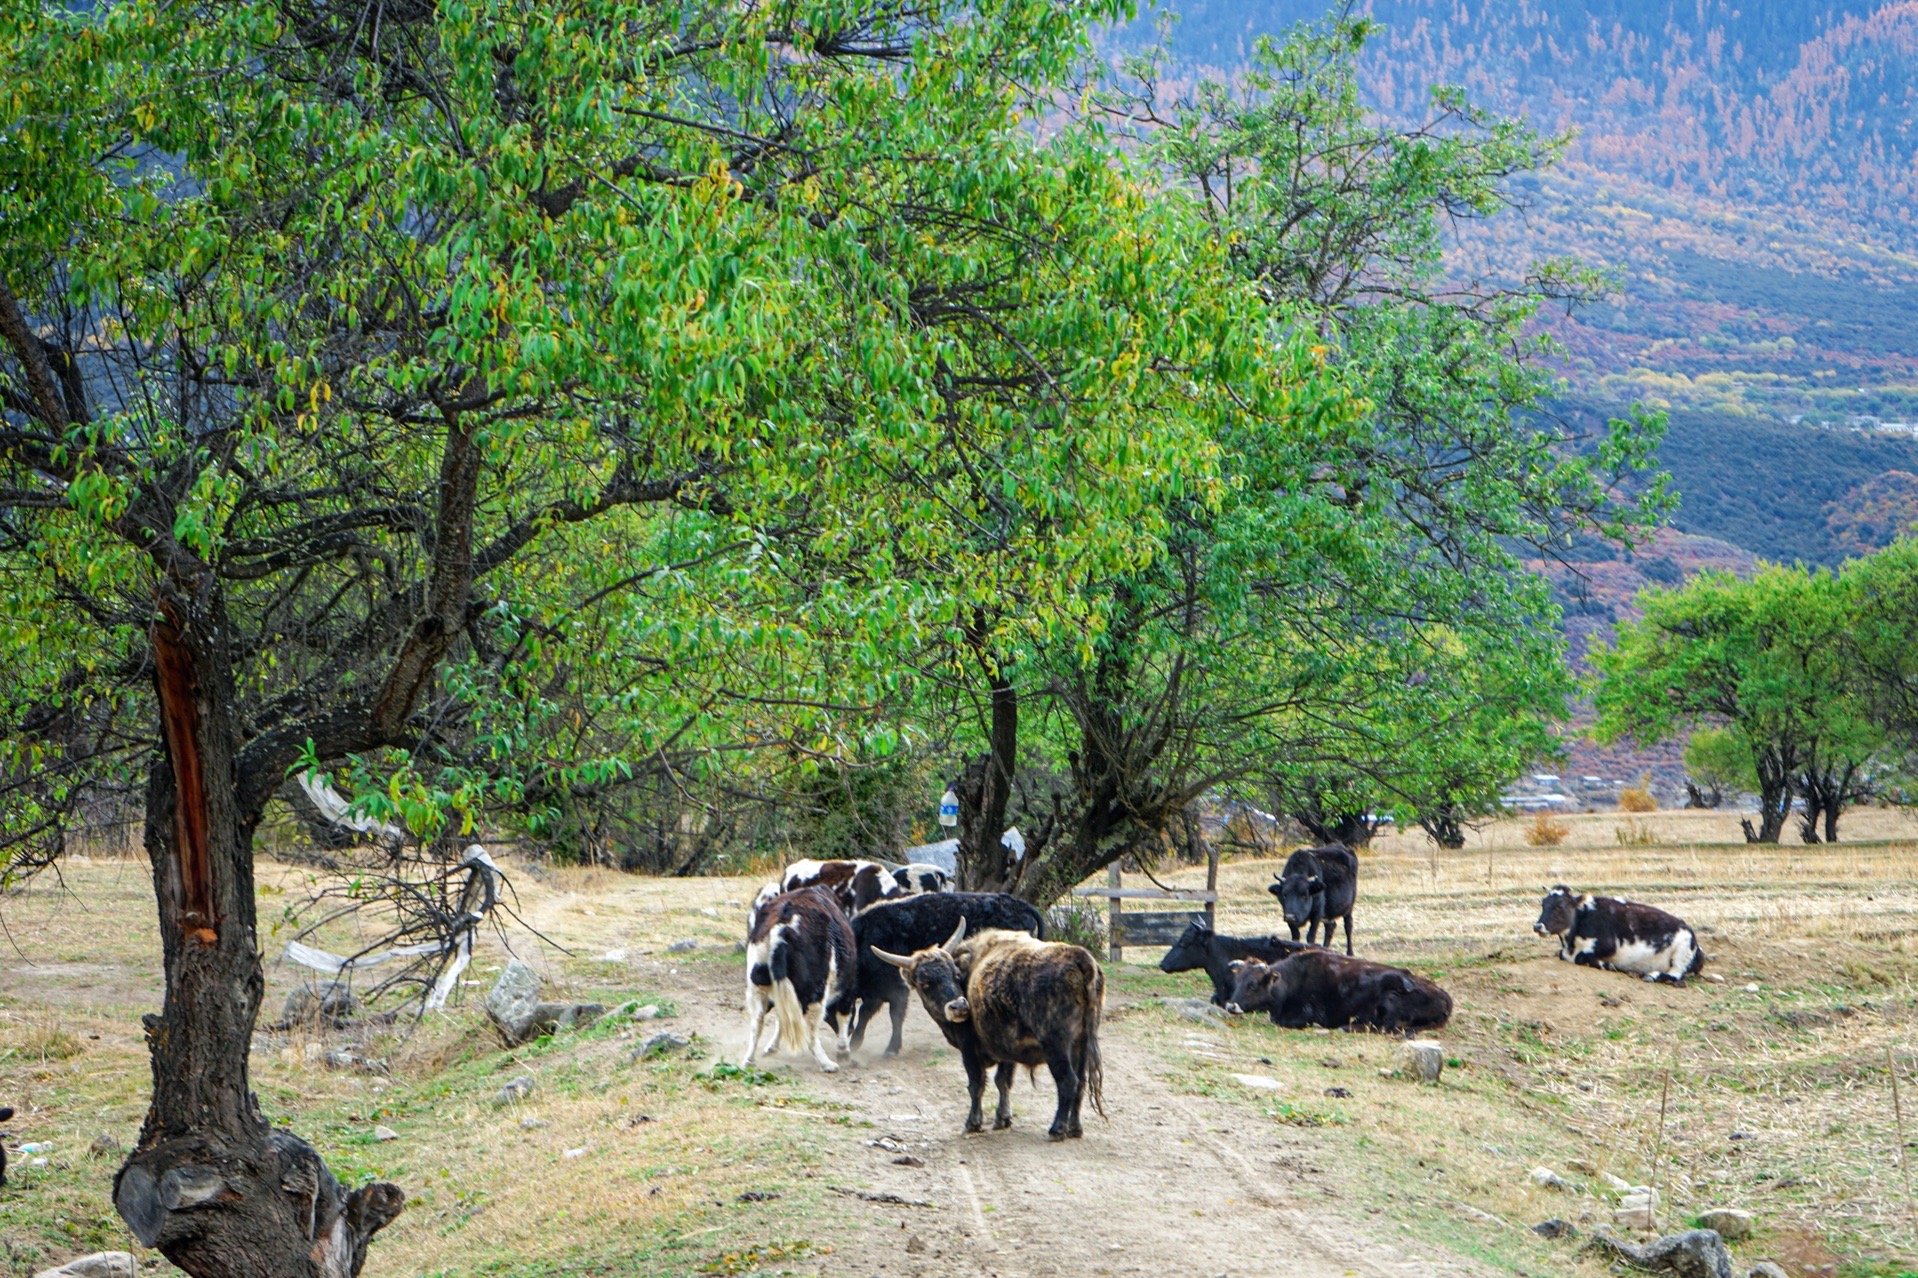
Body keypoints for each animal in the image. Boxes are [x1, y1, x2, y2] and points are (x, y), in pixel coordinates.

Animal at [874, 921, 1112, 1136]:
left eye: (955, 974)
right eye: (924, 982)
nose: (959, 1007)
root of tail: (1077, 956)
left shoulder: (969, 1047)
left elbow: (976, 1083)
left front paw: (973, 1122)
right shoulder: (1006, 1047)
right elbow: (1003, 1081)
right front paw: (1003, 1118)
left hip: (1057, 1046)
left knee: (1068, 1081)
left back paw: (1058, 1128)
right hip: (1082, 1045)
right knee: (1081, 1083)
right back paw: (1075, 1127)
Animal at [1227, 944, 1450, 1036]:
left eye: (1253, 984)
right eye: (1237, 981)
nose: (1231, 1006)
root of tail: (1445, 996)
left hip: (1391, 1000)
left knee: (1382, 1027)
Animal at [1526, 882, 1710, 978]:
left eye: (1560, 906)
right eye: (1543, 904)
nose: (1537, 926)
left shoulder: (1608, 945)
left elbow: (1580, 957)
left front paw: (1607, 964)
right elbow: (1563, 955)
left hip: (1681, 953)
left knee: (1674, 976)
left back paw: (1651, 976)